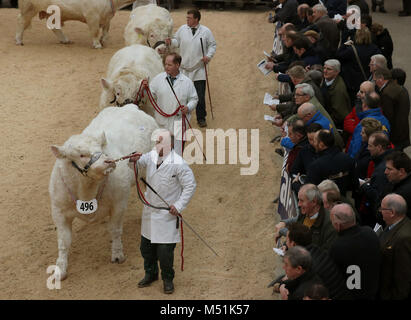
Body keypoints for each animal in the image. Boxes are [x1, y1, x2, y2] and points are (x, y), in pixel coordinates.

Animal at [48, 105, 158, 280]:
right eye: (81, 155)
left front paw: (117, 254)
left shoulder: (119, 204)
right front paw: (60, 269)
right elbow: (64, 241)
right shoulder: (59, 212)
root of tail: (130, 106)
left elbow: (115, 230)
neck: (87, 191)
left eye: (100, 148)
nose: (108, 161)